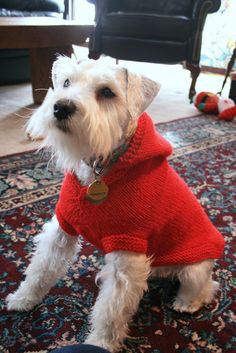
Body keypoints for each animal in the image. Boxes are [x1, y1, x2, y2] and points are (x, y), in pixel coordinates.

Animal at [5, 56, 223, 350]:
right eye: (66, 82)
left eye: (107, 92)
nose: (61, 107)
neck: (100, 168)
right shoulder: (62, 228)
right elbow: (41, 268)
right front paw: (22, 299)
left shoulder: (126, 257)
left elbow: (111, 310)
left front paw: (98, 344)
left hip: (195, 268)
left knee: (206, 286)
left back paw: (186, 303)